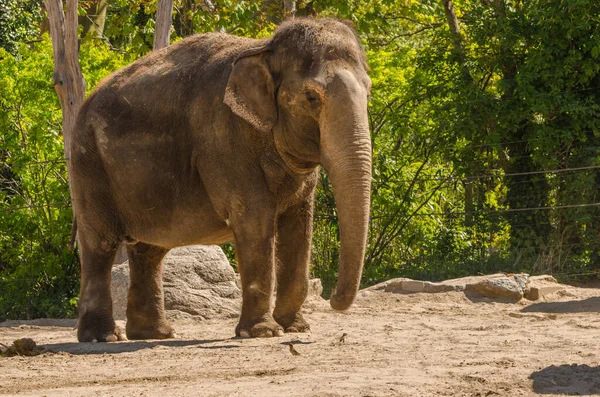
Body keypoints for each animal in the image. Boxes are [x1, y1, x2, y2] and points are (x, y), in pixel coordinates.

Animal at [70, 17, 370, 342]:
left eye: (368, 92)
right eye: (311, 97)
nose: (334, 300)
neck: (265, 48)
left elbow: (299, 224)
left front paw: (296, 327)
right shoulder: (223, 139)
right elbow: (254, 218)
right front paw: (263, 333)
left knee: (149, 249)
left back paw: (156, 334)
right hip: (89, 164)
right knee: (100, 244)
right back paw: (104, 337)